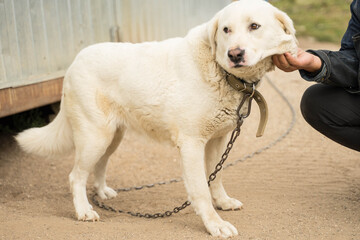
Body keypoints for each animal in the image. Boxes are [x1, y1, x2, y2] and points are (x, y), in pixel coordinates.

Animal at [16, 0, 296, 236]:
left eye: (254, 26)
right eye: (226, 30)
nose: (234, 54)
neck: (221, 72)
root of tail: (74, 62)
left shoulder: (217, 140)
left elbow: (216, 177)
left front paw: (223, 202)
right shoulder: (191, 144)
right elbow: (201, 190)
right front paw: (214, 224)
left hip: (112, 137)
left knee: (99, 165)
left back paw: (101, 193)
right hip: (95, 136)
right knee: (76, 176)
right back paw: (84, 210)